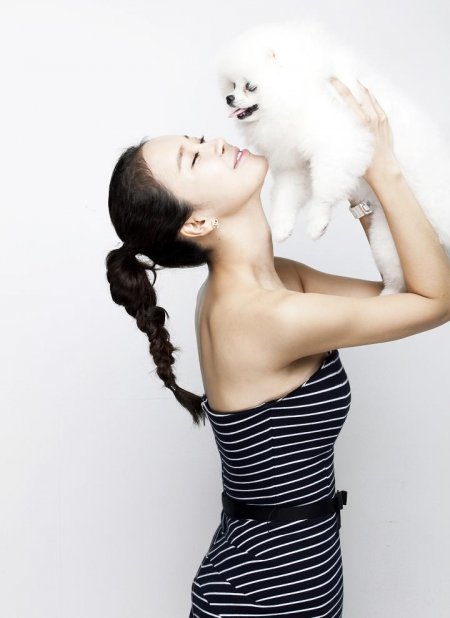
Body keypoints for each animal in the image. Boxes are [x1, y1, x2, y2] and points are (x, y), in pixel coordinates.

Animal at [216, 18, 450, 294]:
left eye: (250, 86)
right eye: (232, 85)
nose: (229, 98)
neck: (299, 98)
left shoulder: (339, 145)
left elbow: (323, 190)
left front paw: (317, 221)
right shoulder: (296, 164)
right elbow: (286, 195)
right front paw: (281, 226)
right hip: (386, 238)